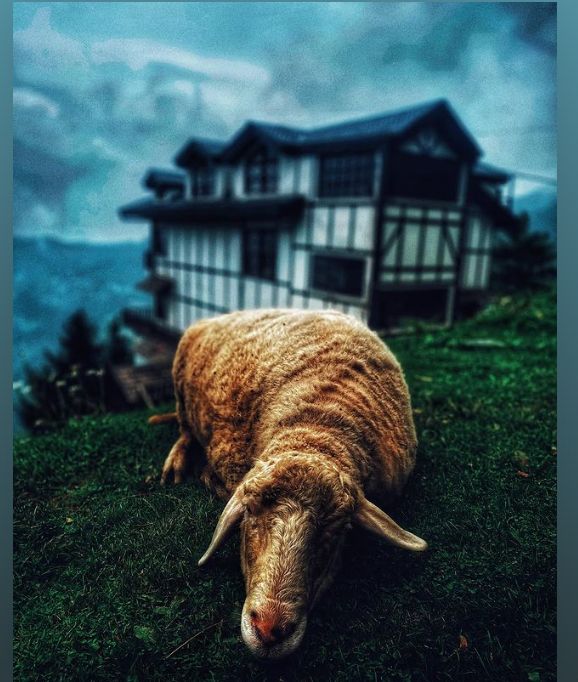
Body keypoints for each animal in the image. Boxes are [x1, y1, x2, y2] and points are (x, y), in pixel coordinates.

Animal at [155, 308, 427, 659]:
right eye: (250, 517)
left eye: (336, 531)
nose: (269, 629)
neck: (319, 425)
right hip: (180, 393)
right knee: (185, 429)